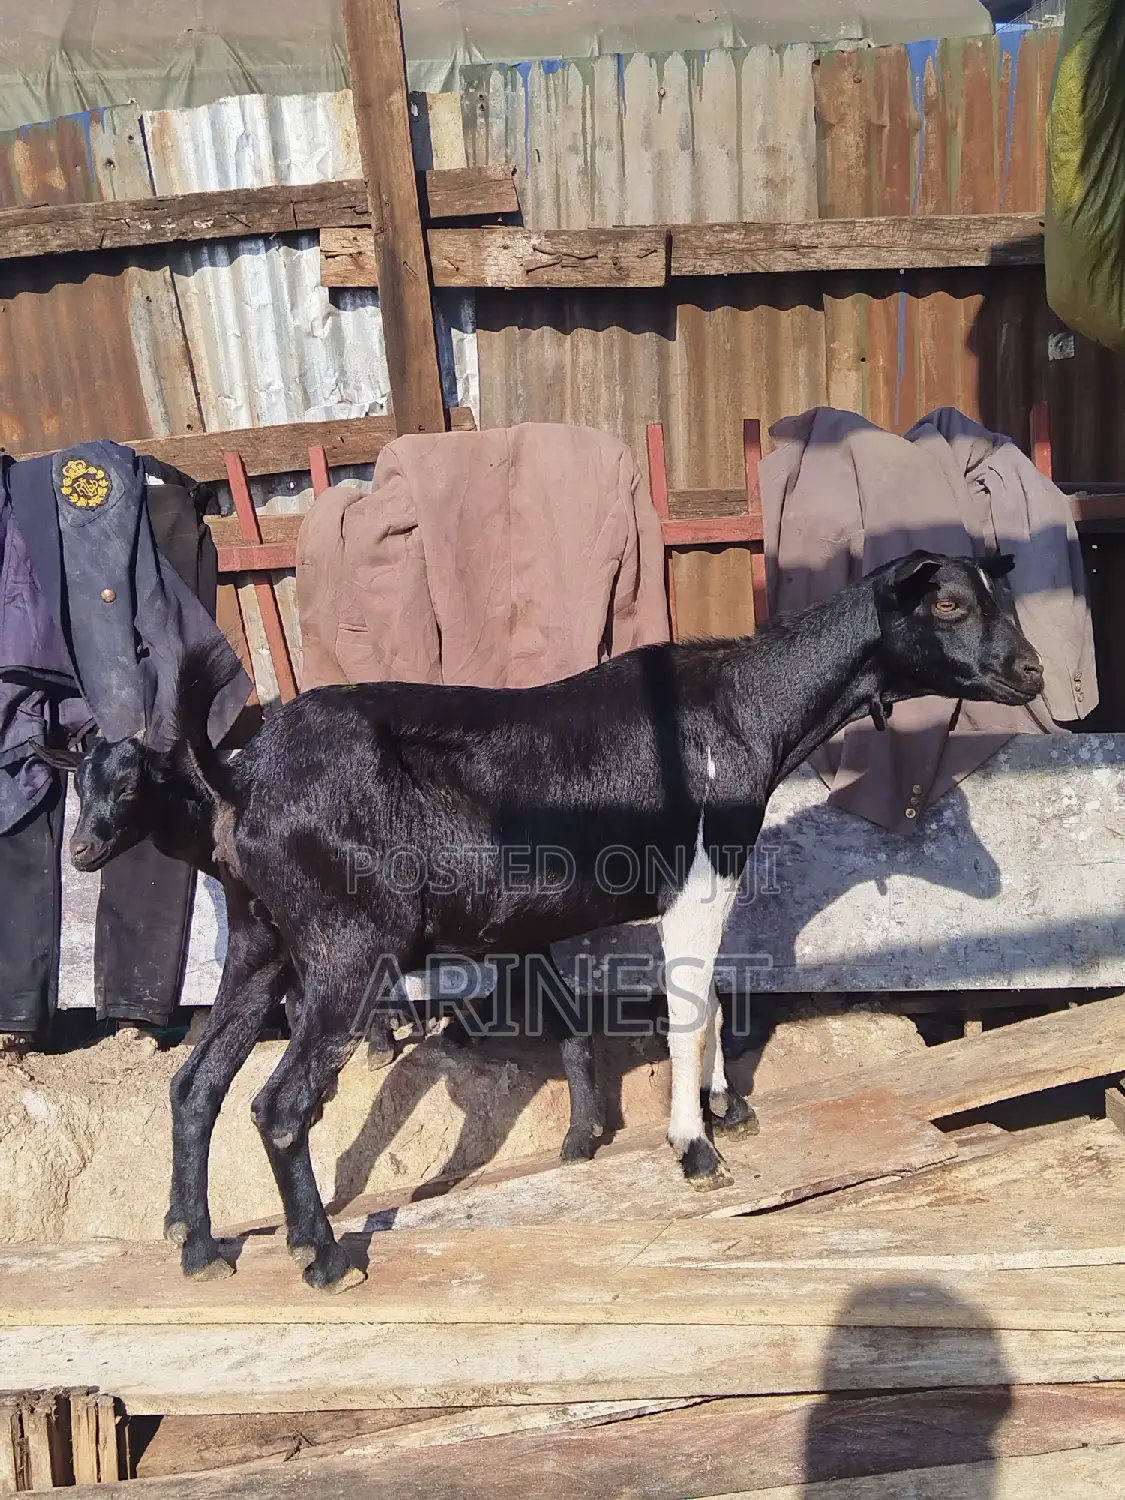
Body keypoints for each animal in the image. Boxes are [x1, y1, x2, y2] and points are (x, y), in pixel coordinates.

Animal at [154, 551, 1040, 1290]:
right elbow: (688, 1014)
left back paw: (198, 1246)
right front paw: (694, 1147)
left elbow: (710, 1000)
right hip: (347, 945)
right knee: (280, 1106)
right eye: (950, 603)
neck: (740, 707)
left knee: (196, 1082)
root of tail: (241, 775)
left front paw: (727, 1109)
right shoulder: (696, 880)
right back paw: (325, 1257)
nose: (1029, 671)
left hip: (260, 937)